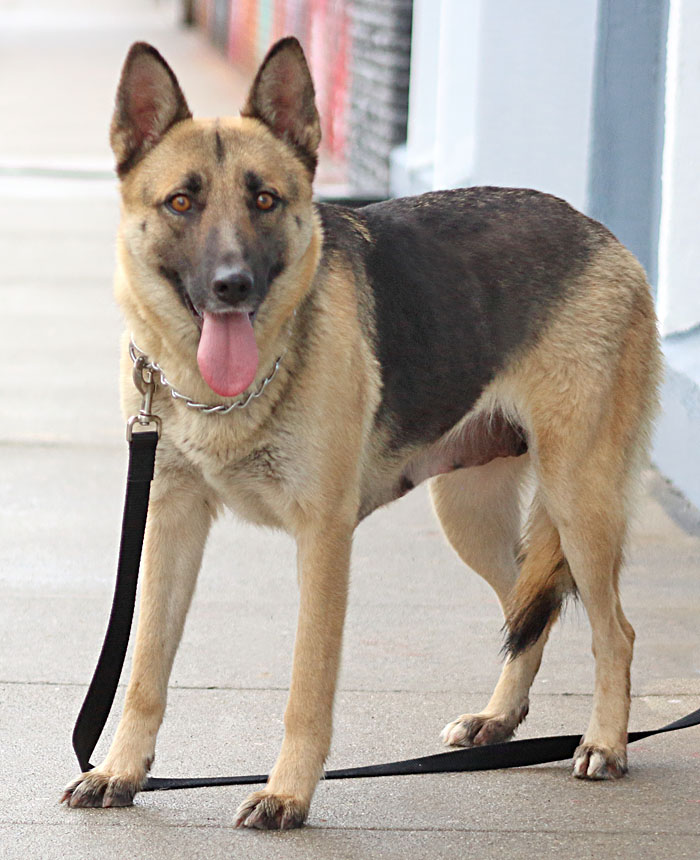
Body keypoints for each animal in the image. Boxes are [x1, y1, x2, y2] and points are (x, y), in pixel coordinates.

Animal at [61, 37, 662, 829]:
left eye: (265, 199)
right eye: (181, 202)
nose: (231, 286)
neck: (224, 390)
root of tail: (601, 233)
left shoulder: (324, 537)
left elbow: (307, 685)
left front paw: (287, 792)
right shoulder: (171, 523)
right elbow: (145, 669)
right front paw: (121, 771)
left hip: (577, 502)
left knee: (614, 631)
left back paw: (605, 743)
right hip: (469, 514)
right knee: (531, 612)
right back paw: (498, 720)